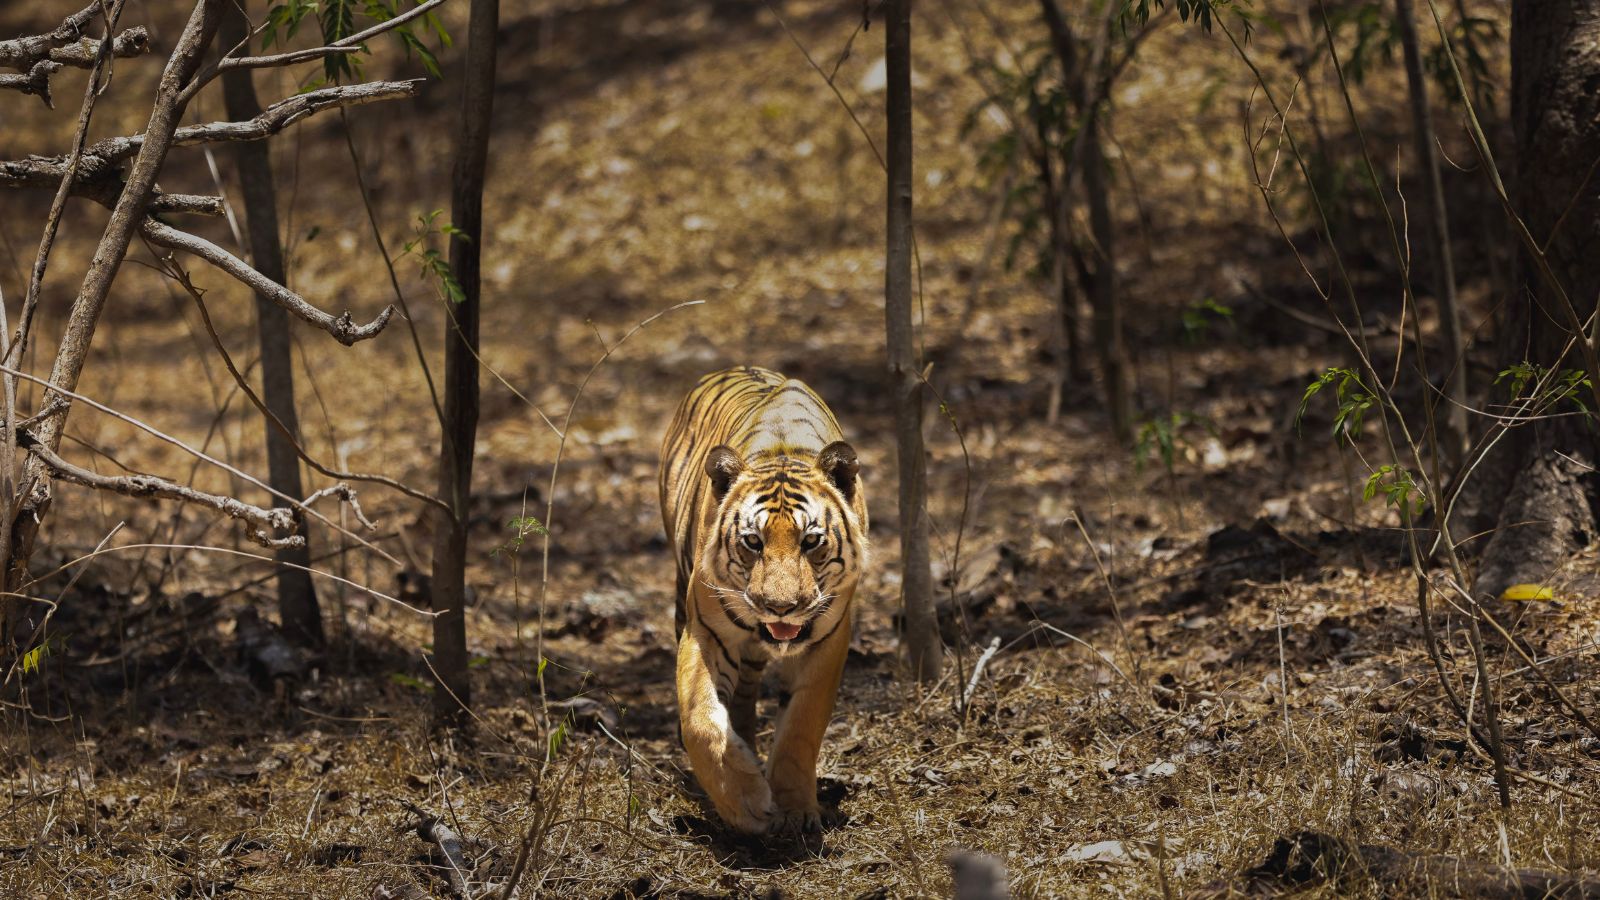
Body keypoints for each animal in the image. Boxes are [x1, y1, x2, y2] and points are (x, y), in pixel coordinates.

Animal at [658, 366, 868, 834]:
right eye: (753, 542)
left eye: (811, 542)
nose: (780, 607)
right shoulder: (705, 633)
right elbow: (699, 718)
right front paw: (746, 802)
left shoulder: (829, 641)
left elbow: (800, 727)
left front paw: (794, 809)